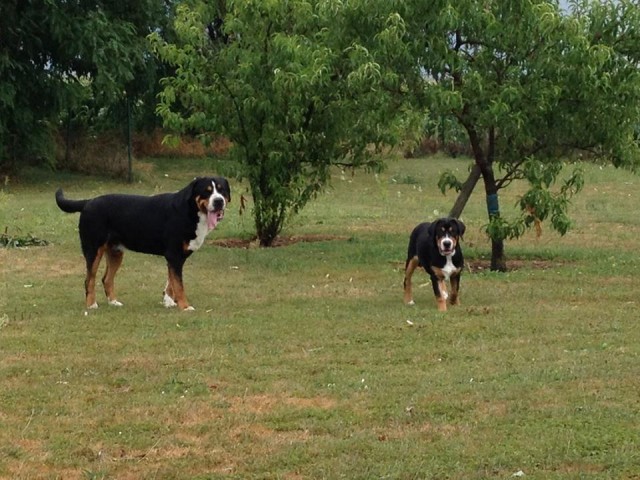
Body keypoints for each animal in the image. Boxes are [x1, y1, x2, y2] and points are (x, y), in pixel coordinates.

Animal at [55, 176, 230, 312]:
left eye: (222, 191)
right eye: (207, 191)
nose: (219, 201)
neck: (190, 211)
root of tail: (88, 201)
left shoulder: (174, 257)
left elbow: (171, 281)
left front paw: (168, 301)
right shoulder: (174, 254)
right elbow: (179, 285)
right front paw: (185, 306)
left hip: (115, 252)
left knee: (107, 279)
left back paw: (113, 302)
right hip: (93, 249)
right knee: (89, 279)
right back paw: (91, 305)